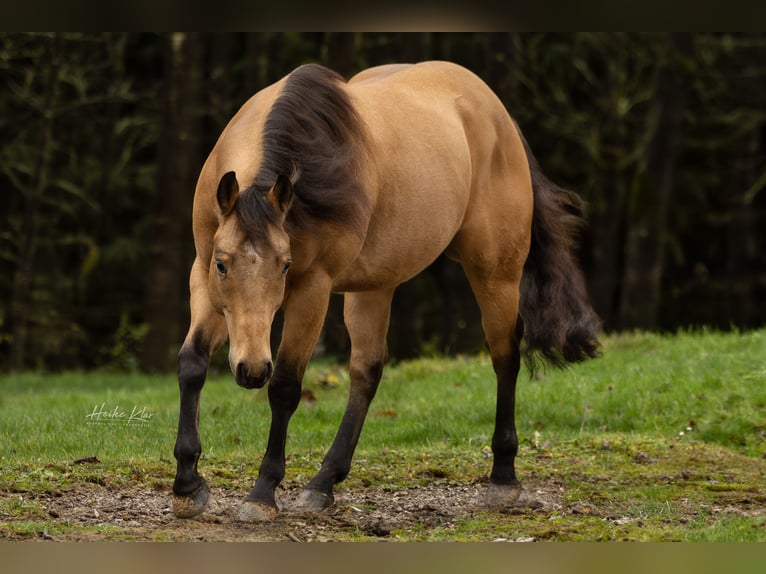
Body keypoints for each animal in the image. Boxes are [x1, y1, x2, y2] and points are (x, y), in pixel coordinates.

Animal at [171, 60, 604, 524]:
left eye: (285, 266)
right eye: (222, 264)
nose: (251, 370)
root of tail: (498, 115)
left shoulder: (312, 290)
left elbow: (285, 386)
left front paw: (262, 493)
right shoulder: (203, 277)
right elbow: (192, 365)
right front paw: (187, 485)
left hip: (495, 273)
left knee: (505, 356)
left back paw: (503, 478)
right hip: (375, 286)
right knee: (367, 371)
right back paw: (324, 482)